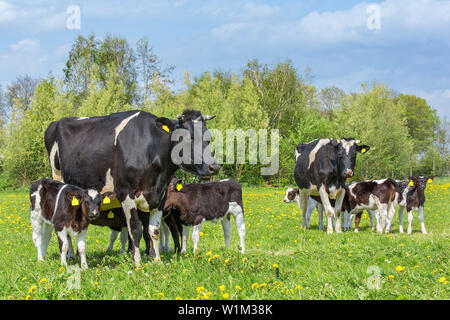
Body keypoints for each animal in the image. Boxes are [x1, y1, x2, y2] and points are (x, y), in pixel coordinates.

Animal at [44, 110, 221, 268]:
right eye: (187, 137)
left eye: (209, 137)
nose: (214, 167)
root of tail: (56, 122)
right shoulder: (125, 194)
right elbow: (135, 229)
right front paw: (137, 262)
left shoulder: (160, 197)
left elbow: (154, 230)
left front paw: (157, 260)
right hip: (59, 180)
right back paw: (70, 254)